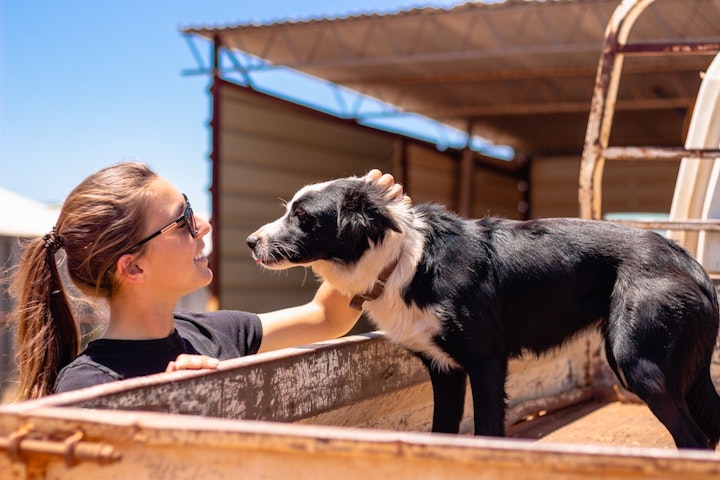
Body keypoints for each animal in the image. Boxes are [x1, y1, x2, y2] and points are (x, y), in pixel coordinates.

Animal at [248, 176, 720, 450]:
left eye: (303, 216)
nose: (251, 242)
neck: (404, 260)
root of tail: (688, 261)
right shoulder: (444, 370)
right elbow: (442, 434)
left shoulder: (486, 361)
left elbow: (488, 432)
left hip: (637, 362)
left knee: (695, 442)